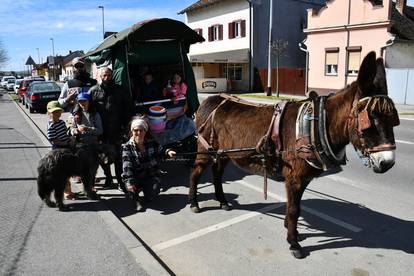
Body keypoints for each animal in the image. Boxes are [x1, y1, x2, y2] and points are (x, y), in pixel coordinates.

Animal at [189, 51, 400, 258]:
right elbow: (293, 209)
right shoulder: (295, 179)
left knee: (217, 174)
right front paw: (293, 243)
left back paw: (223, 201)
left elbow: (295, 208)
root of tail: (210, 100)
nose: (388, 163)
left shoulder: (302, 178)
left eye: (393, 121)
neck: (315, 126)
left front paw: (293, 232)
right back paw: (194, 203)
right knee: (195, 173)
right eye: (370, 121)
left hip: (224, 153)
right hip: (204, 151)